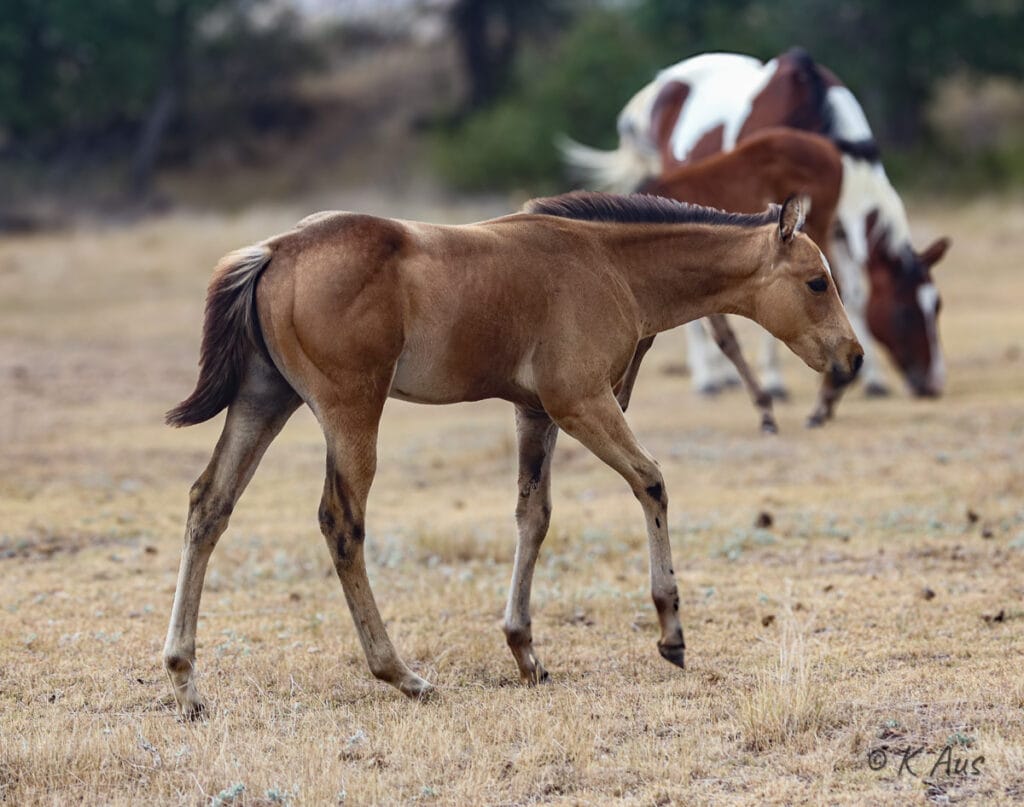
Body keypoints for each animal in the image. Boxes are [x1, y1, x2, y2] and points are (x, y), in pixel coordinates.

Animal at [161, 190, 864, 716]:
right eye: (817, 282)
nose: (854, 358)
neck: (608, 262)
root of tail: (275, 249)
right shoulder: (581, 404)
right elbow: (651, 481)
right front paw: (670, 632)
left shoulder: (535, 413)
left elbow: (534, 516)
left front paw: (525, 651)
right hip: (350, 410)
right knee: (341, 524)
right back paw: (402, 674)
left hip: (263, 400)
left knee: (209, 505)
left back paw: (184, 679)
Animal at [565, 48, 946, 401]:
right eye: (904, 313)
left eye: (937, 306)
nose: (931, 383)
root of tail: (664, 81)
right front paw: (775, 382)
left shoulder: (836, 230)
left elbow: (853, 292)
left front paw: (871, 380)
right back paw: (709, 379)